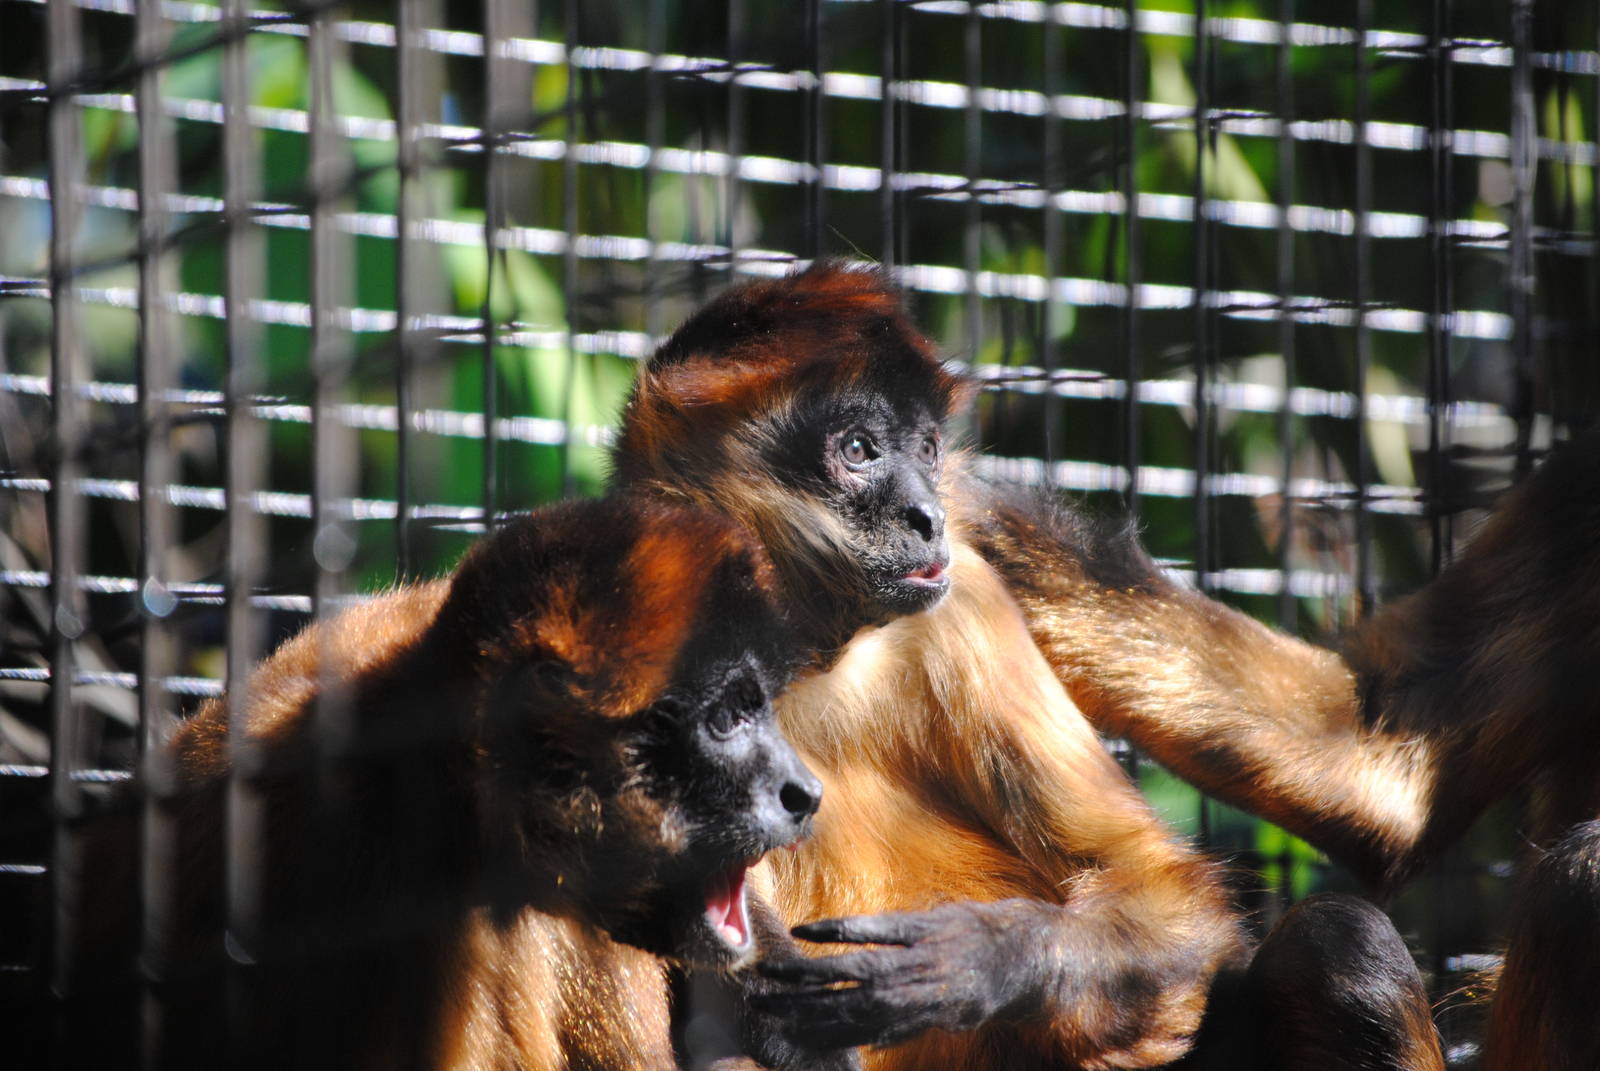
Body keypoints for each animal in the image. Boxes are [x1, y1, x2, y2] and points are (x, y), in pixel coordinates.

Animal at [608, 260, 1444, 1070]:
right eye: (858, 450)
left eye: (927, 450)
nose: (930, 516)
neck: (810, 653)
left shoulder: (965, 600)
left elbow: (1152, 880)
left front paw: (980, 960)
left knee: (1343, 945)